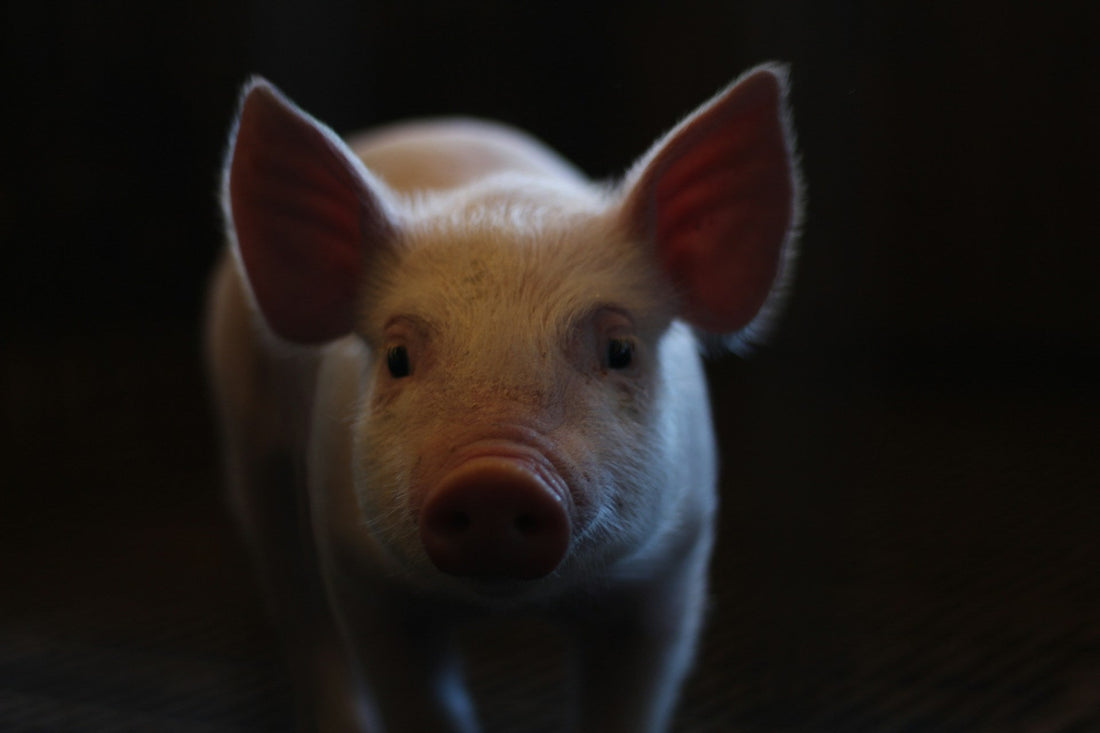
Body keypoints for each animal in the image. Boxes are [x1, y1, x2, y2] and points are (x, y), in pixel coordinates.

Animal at [205, 63, 800, 733]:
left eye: (620, 349)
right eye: (397, 358)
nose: (493, 479)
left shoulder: (673, 567)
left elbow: (629, 698)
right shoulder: (360, 570)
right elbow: (419, 698)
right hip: (254, 447)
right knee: (300, 611)